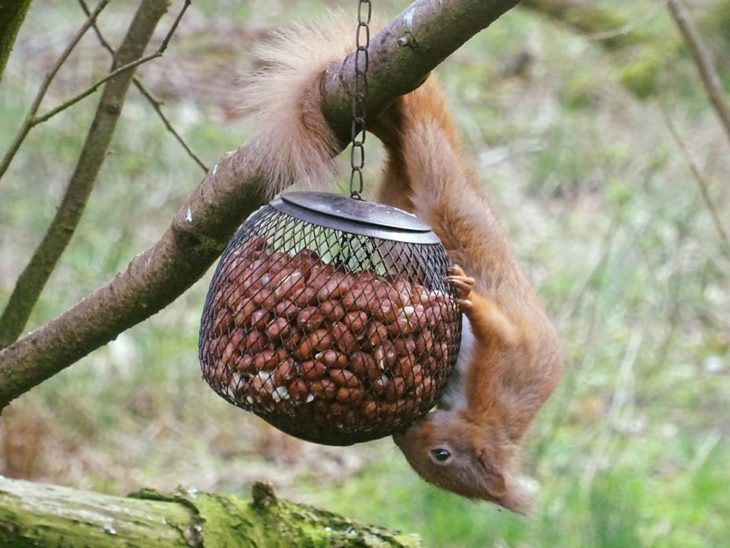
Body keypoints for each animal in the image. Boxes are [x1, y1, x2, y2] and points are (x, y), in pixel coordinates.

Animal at [239, 16, 564, 512]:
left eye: (437, 458)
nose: (400, 435)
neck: (482, 412)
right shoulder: (507, 364)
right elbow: (498, 328)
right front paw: (470, 298)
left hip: (402, 196)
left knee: (398, 163)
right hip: (441, 187)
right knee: (418, 147)